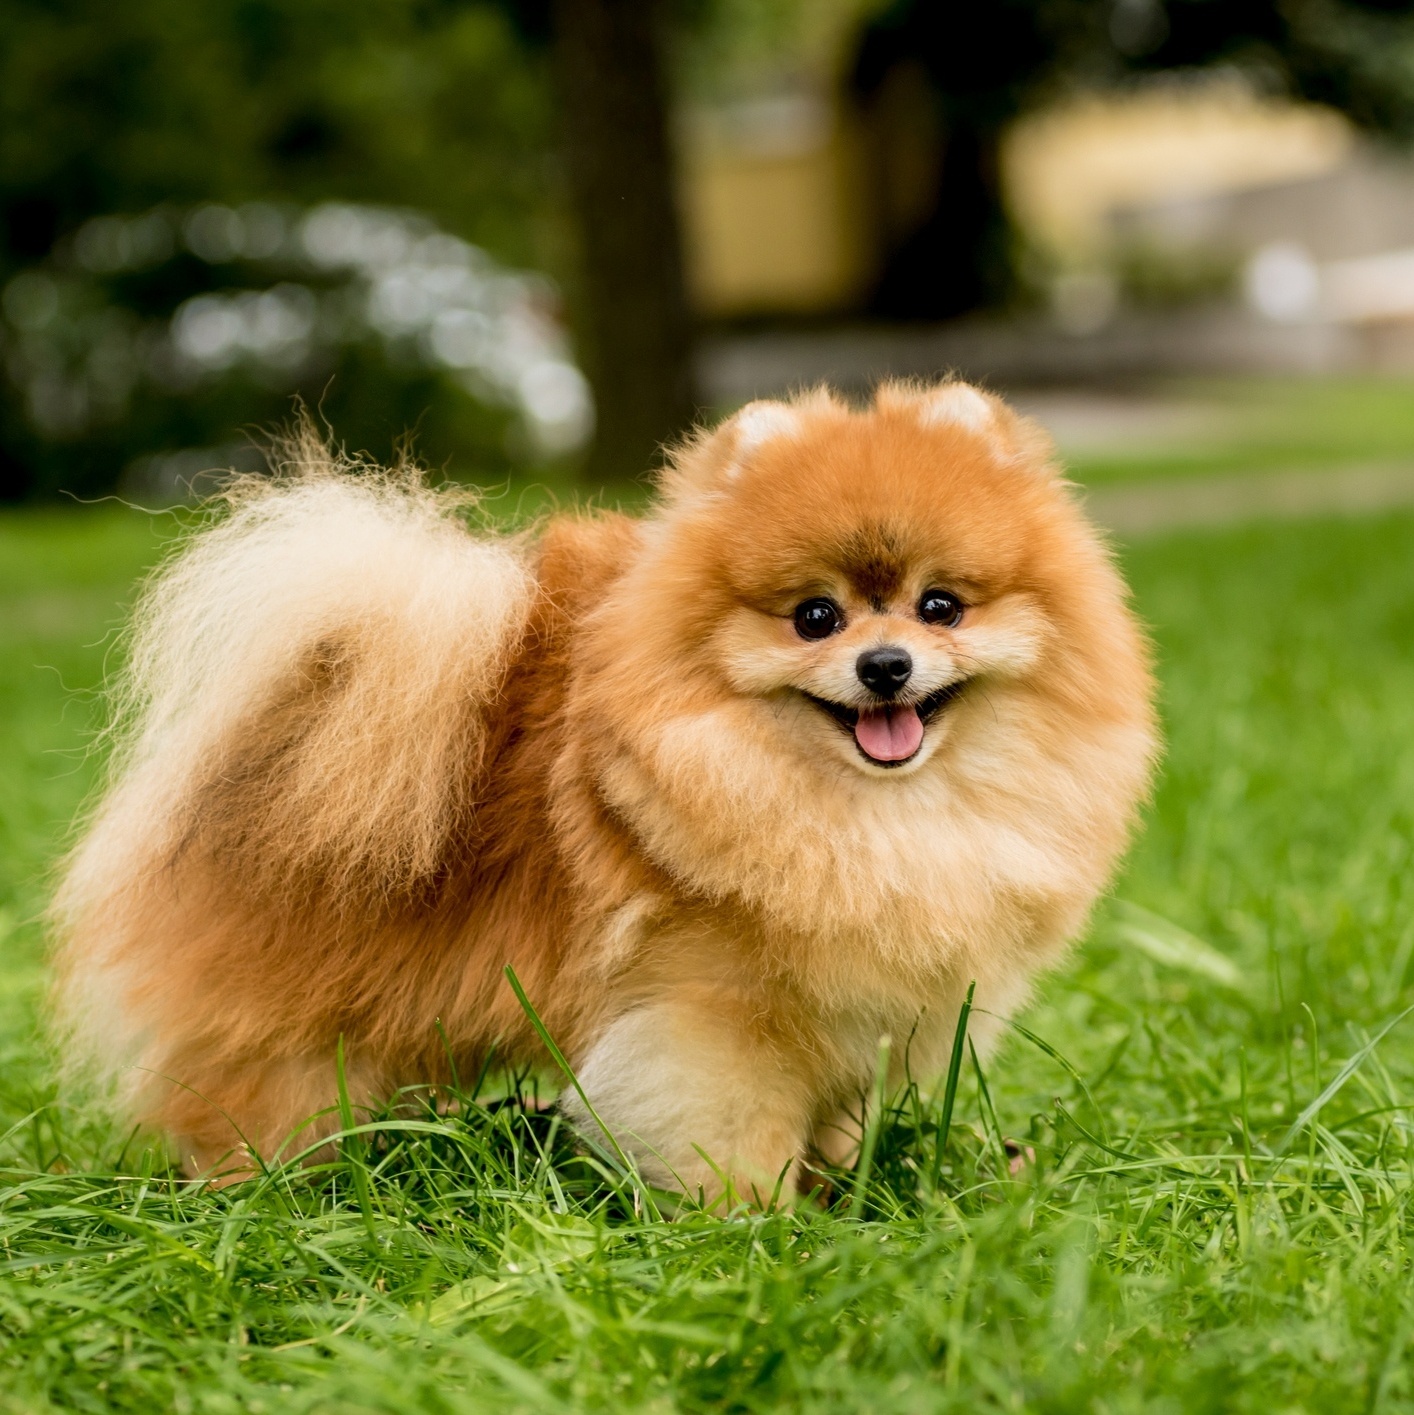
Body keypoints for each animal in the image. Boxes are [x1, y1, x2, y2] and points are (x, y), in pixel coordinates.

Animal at [58, 382, 1160, 1199]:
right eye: (815, 615)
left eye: (942, 607)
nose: (884, 665)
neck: (862, 809)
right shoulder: (709, 1017)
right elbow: (731, 1133)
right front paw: (760, 1231)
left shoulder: (859, 1008)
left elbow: (834, 1119)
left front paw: (837, 1191)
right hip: (288, 1025)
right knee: (249, 1105)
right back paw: (271, 1197)